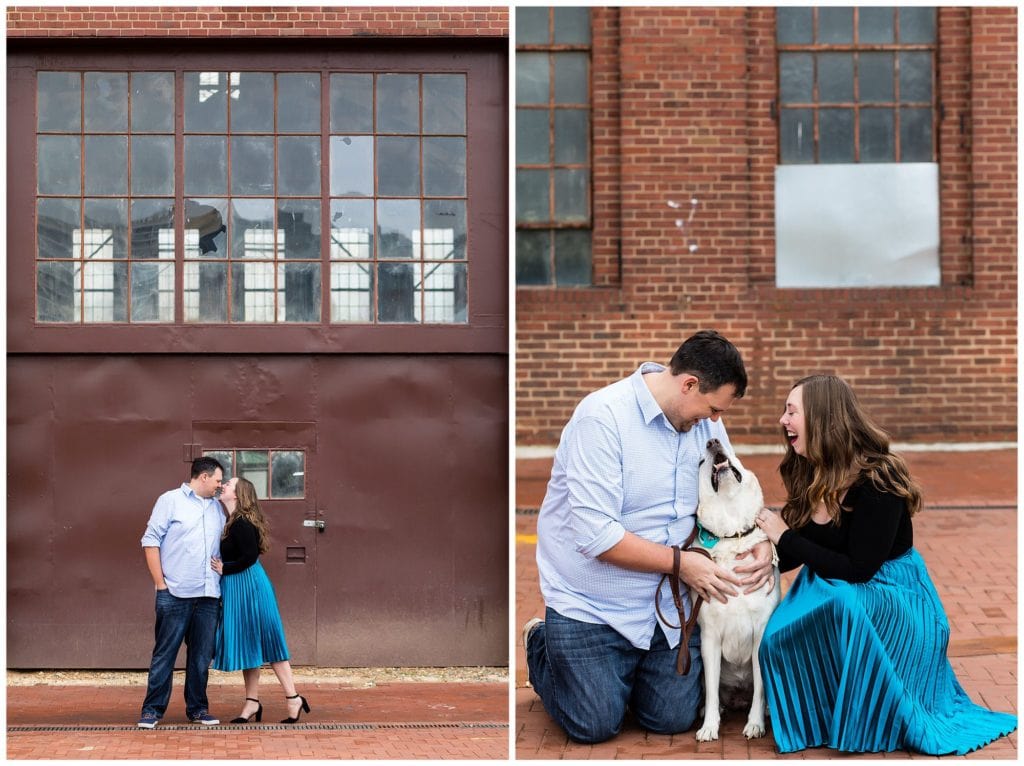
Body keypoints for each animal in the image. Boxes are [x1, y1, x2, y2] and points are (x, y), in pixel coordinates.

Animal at [692, 436, 778, 741]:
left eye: (730, 448)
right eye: (701, 461)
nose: (712, 440)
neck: (732, 535)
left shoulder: (761, 632)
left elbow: (762, 689)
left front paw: (755, 724)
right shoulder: (709, 638)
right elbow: (711, 689)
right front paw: (709, 726)